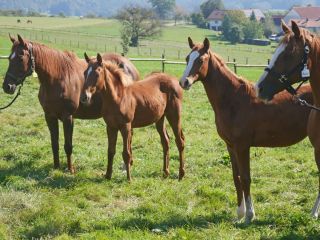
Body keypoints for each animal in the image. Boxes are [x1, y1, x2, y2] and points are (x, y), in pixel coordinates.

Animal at [2, 34, 140, 172]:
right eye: (9, 58)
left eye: (20, 57)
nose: (7, 86)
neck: (57, 78)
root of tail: (129, 65)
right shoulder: (49, 116)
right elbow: (54, 143)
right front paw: (56, 167)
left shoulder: (68, 117)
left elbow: (68, 145)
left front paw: (70, 169)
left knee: (130, 136)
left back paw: (126, 165)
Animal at [80, 54, 185, 182]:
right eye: (85, 73)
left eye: (97, 73)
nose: (84, 97)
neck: (118, 97)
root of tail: (174, 80)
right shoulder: (110, 127)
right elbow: (110, 151)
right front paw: (108, 175)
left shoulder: (126, 126)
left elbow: (126, 153)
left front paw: (129, 179)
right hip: (160, 118)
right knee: (165, 141)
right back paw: (166, 172)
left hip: (174, 115)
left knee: (180, 142)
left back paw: (181, 174)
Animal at [180, 37, 312, 223]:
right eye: (187, 58)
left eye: (200, 60)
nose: (184, 82)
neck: (233, 98)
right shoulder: (230, 146)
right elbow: (236, 178)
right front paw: (239, 213)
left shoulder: (243, 146)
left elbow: (246, 178)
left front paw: (250, 215)